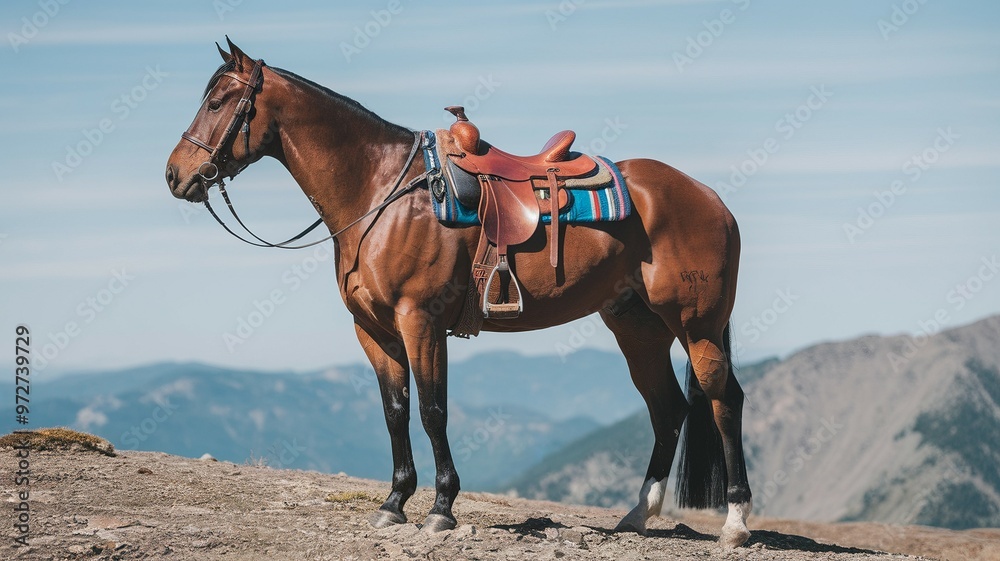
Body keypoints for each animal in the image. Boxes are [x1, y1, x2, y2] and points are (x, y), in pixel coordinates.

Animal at [164, 38, 752, 548]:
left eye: (218, 101)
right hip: (636, 326)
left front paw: (441, 508)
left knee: (723, 400)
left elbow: (432, 411)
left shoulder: (419, 321)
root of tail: (711, 198)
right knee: (667, 407)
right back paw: (637, 515)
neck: (381, 194)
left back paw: (735, 522)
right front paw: (394, 502)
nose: (175, 175)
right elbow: (395, 410)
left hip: (695, 324)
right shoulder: (373, 329)